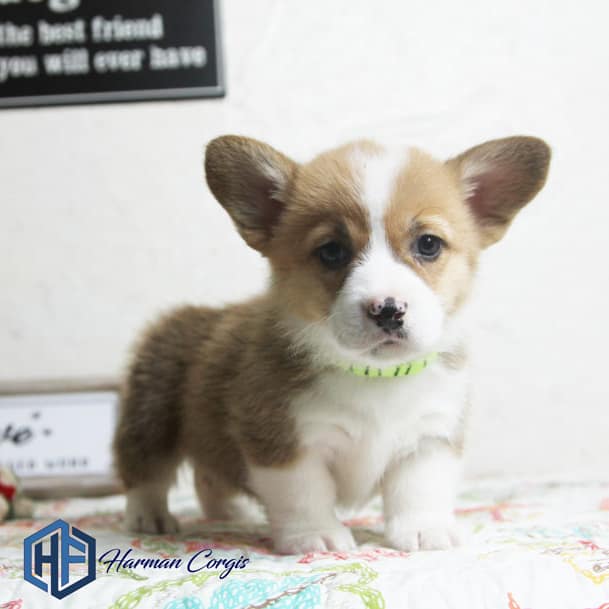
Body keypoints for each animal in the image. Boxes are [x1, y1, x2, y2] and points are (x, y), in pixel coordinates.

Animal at [111, 135, 548, 552]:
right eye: (332, 251)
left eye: (428, 244)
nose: (387, 310)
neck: (376, 376)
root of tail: (187, 314)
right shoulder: (284, 442)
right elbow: (304, 494)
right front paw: (316, 537)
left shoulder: (429, 437)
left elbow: (419, 490)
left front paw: (425, 532)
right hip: (151, 418)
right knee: (145, 473)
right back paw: (149, 518)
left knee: (208, 476)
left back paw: (230, 514)